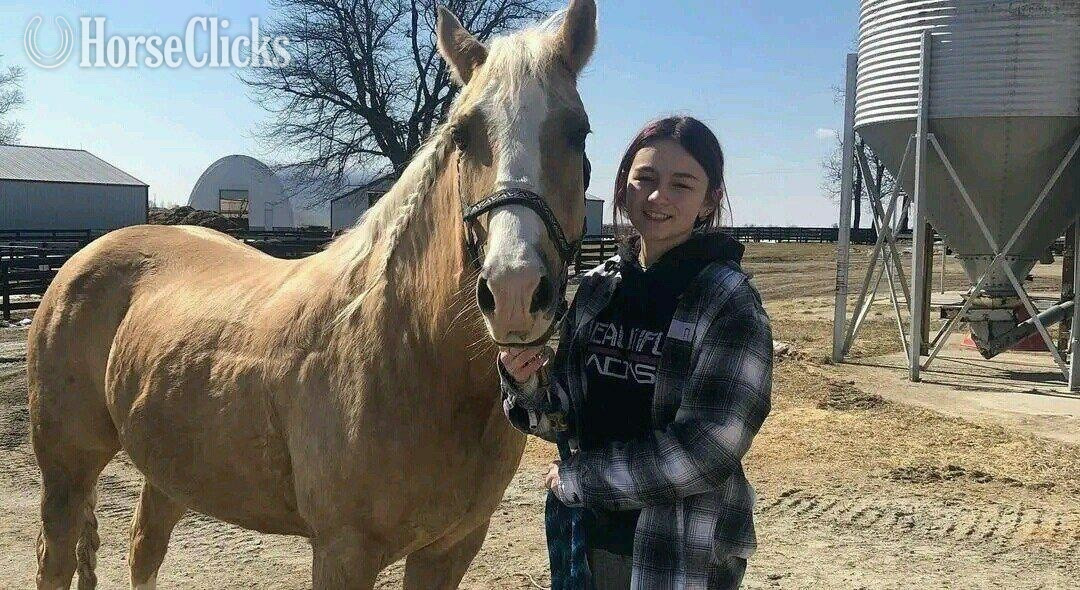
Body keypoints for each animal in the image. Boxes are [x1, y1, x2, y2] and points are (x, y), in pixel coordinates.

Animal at [26, 2, 596, 588]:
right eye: (463, 134)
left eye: (578, 132)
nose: (514, 290)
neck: (404, 347)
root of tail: (80, 263)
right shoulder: (343, 551)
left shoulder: (451, 547)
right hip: (66, 466)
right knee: (58, 557)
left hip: (168, 467)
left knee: (144, 549)